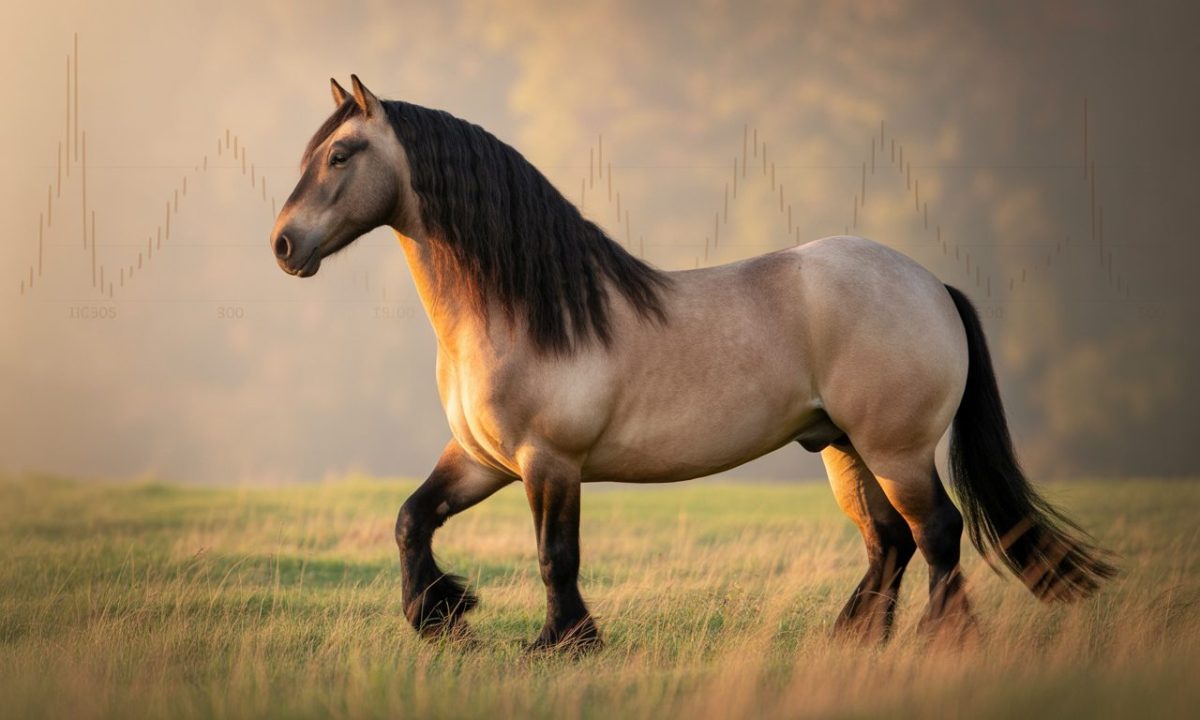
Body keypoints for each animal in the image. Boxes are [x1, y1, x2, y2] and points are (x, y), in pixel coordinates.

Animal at [270, 75, 1114, 650]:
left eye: (340, 154)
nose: (283, 245)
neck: (518, 309)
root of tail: (929, 283)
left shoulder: (550, 463)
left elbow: (555, 557)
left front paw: (562, 644)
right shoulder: (483, 459)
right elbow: (412, 519)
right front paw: (441, 617)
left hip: (896, 449)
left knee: (935, 532)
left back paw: (940, 642)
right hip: (843, 448)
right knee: (889, 541)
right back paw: (851, 639)